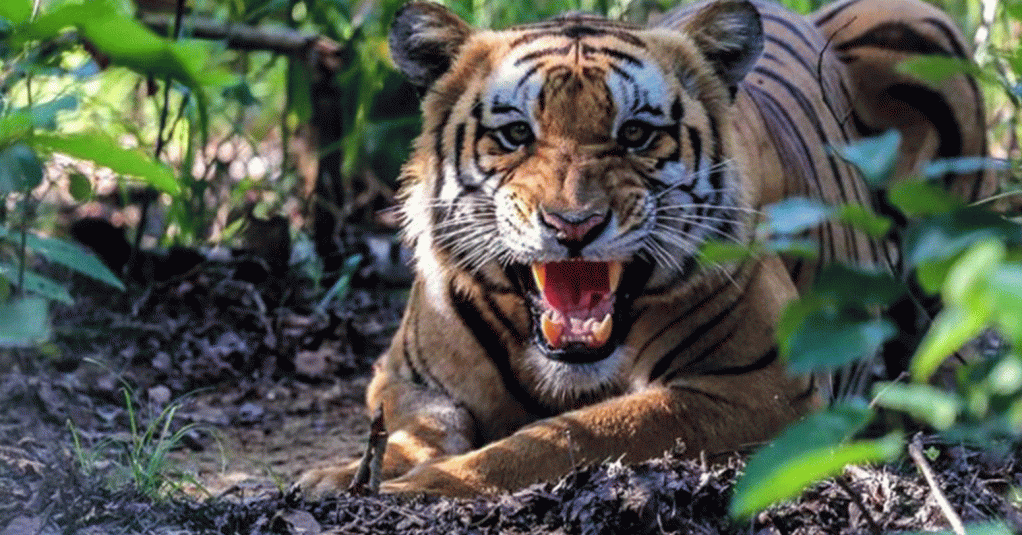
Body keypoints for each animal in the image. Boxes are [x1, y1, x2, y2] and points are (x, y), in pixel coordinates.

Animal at [299, 0, 995, 496]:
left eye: (635, 134)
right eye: (516, 134)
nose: (573, 225)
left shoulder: (755, 386)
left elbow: (563, 438)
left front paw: (422, 487)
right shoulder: (403, 376)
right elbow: (413, 429)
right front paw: (340, 477)